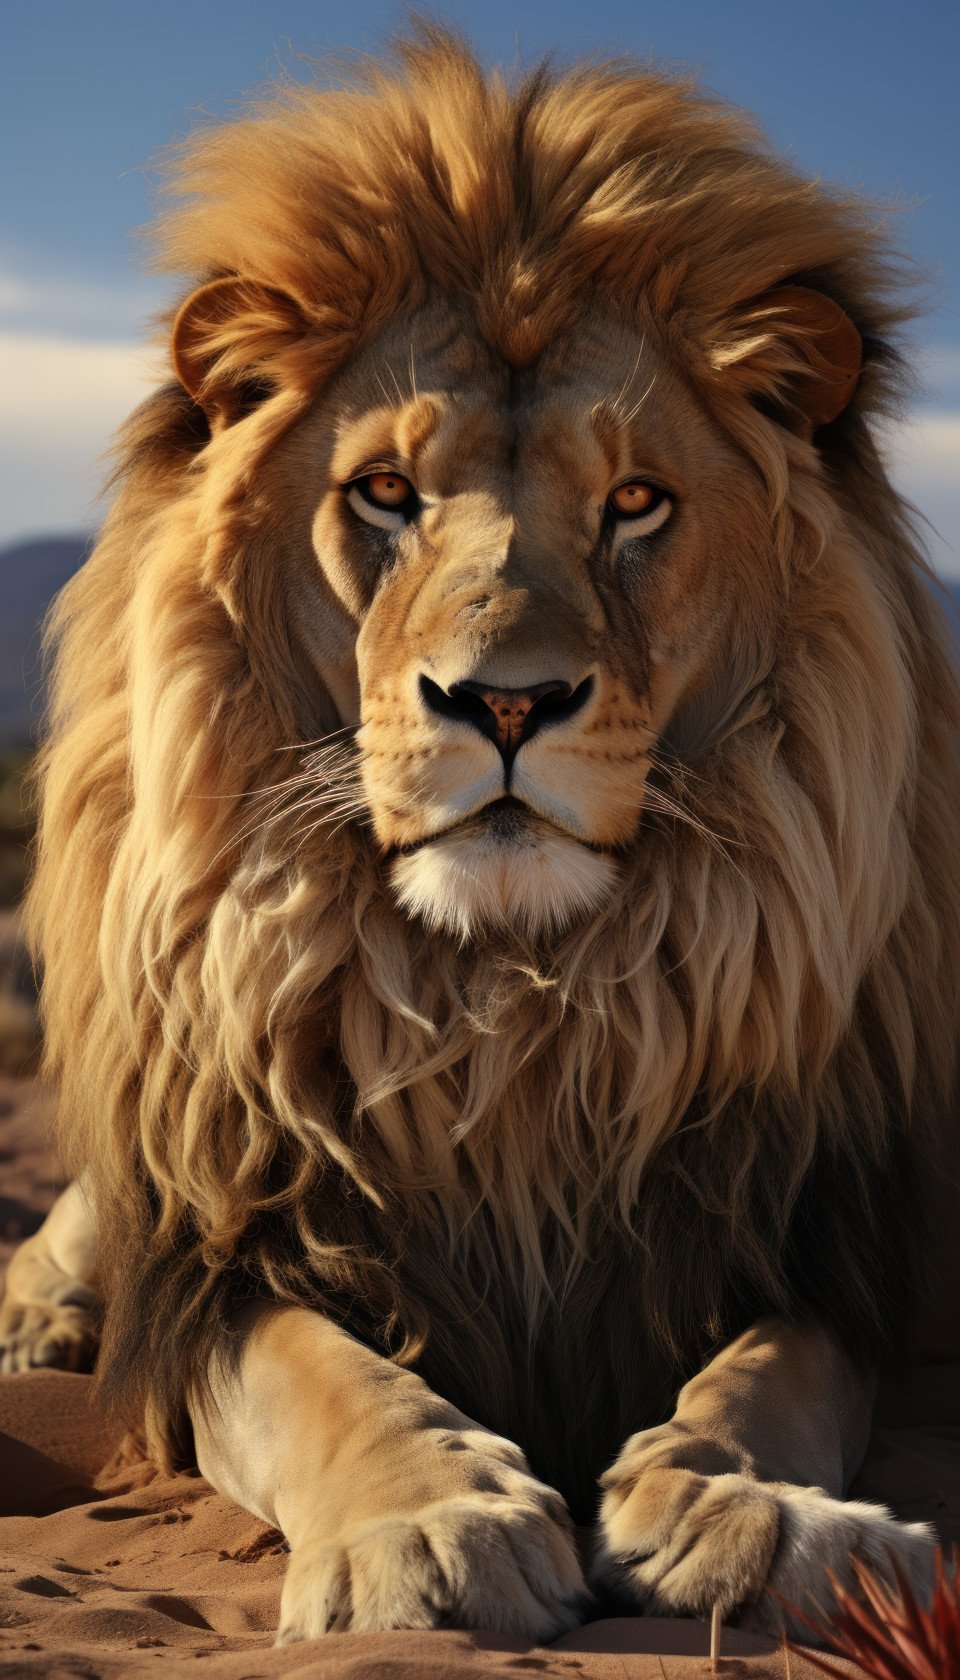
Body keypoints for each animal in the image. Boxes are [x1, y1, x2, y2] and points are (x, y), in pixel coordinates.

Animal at [1, 26, 958, 1647]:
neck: (508, 1009)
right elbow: (323, 1377)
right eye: (385, 492)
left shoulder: (804, 1230)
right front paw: (430, 1527)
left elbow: (773, 1375)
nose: (503, 702)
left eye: (635, 501)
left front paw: (754, 1514)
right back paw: (42, 1321)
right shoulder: (233, 1256)